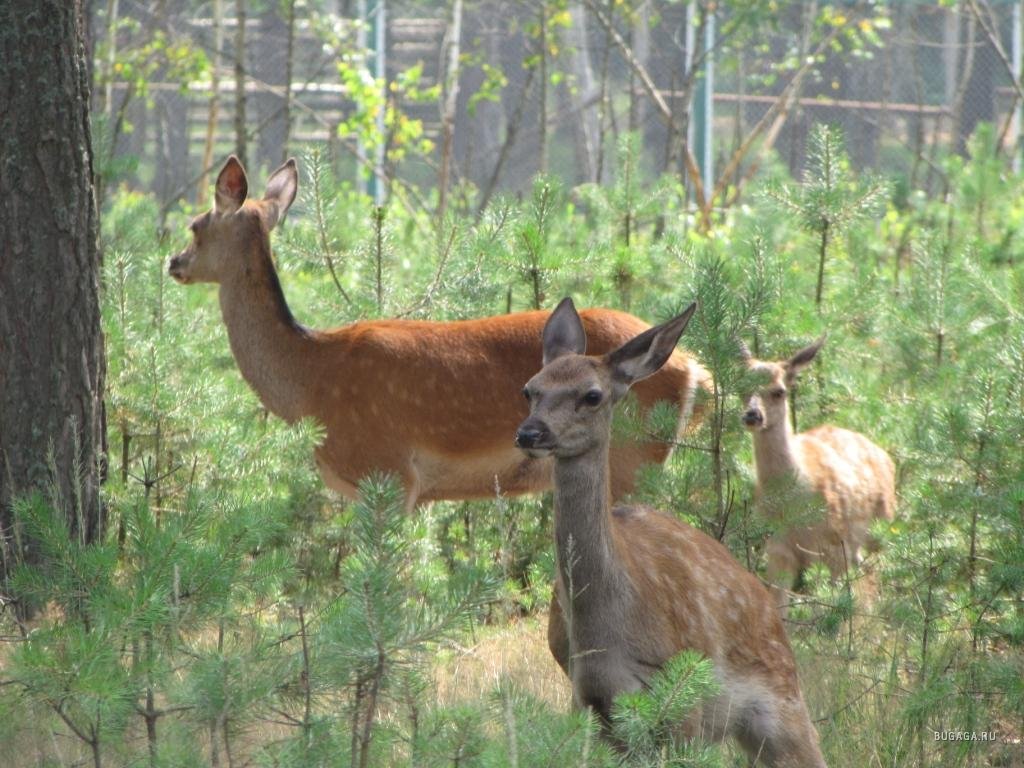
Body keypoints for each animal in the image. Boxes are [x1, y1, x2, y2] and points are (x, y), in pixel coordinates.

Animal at [167, 156, 712, 512]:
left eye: (196, 225)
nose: (173, 262)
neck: (310, 381)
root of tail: (695, 370)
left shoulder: (387, 470)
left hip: (631, 456)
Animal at [516, 296, 827, 765]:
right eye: (530, 389)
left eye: (592, 395)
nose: (530, 432)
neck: (604, 636)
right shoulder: (589, 702)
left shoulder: (682, 701)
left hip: (781, 700)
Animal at [737, 335, 897, 614]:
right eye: (741, 386)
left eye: (779, 391)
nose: (752, 415)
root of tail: (885, 456)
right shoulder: (777, 549)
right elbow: (779, 607)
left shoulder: (834, 545)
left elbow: (829, 608)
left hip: (880, 526)